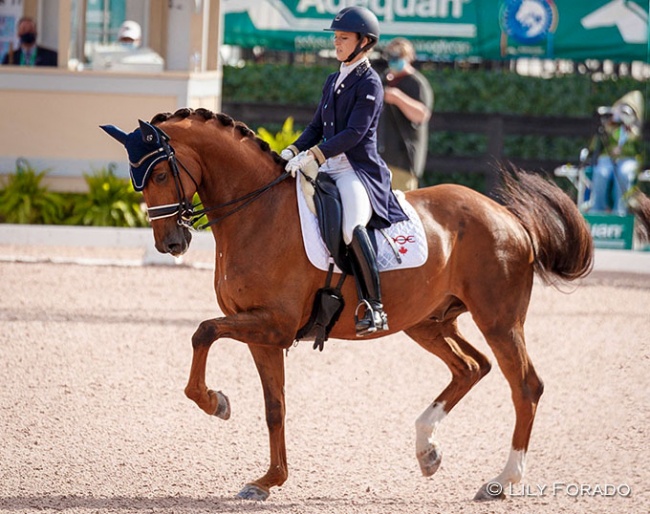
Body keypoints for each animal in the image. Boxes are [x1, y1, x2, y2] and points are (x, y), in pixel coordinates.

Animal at [100, 105, 592, 500]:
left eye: (160, 174)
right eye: (136, 181)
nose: (171, 243)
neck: (258, 213)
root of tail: (509, 218)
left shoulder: (272, 324)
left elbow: (203, 332)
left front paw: (215, 402)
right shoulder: (262, 333)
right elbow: (274, 408)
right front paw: (268, 480)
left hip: (499, 321)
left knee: (525, 386)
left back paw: (502, 481)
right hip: (428, 322)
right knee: (471, 367)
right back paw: (427, 451)